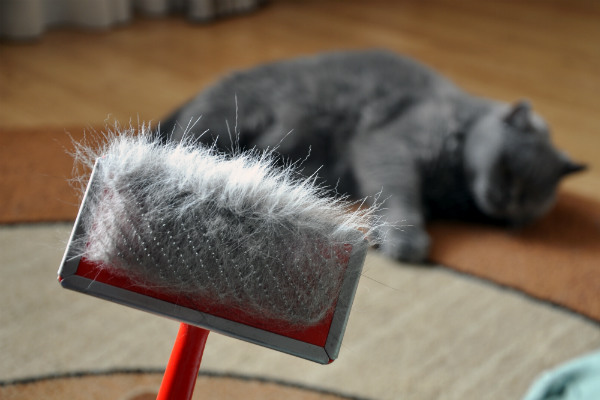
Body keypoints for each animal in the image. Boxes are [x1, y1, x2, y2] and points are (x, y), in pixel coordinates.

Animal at [161, 50, 584, 262]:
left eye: (526, 203)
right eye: (508, 170)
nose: (504, 201)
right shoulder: (390, 145)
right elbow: (401, 195)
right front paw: (405, 240)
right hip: (227, 119)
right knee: (180, 147)